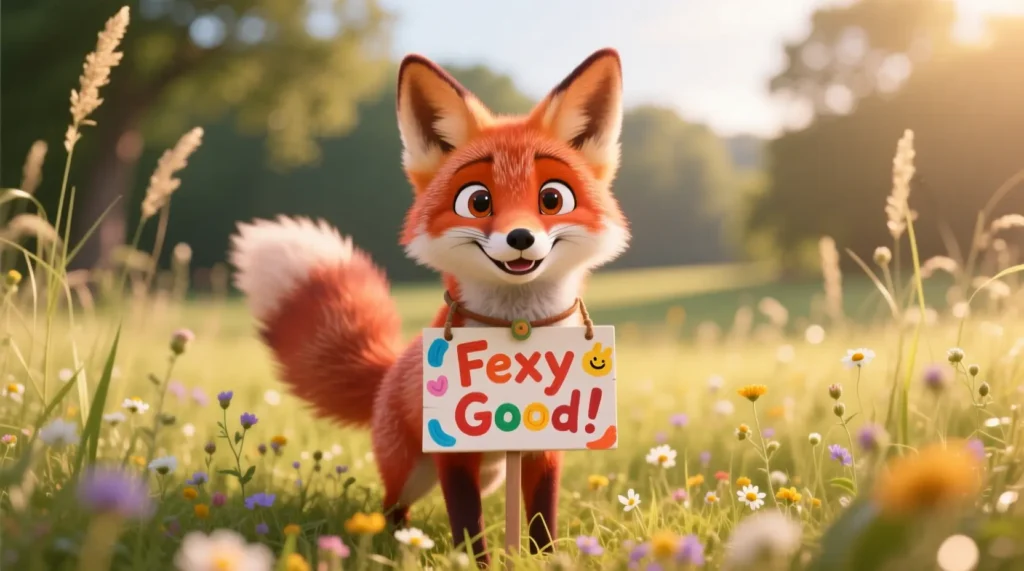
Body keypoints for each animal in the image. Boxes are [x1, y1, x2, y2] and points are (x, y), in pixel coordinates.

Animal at [228, 48, 630, 563]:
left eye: (552, 198)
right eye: (478, 201)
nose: (520, 238)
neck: (516, 330)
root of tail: (386, 375)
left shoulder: (544, 447)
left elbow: (542, 522)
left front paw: (543, 561)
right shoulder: (452, 452)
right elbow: (468, 525)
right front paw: (475, 564)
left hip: (493, 471)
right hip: (412, 473)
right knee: (389, 508)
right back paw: (393, 545)